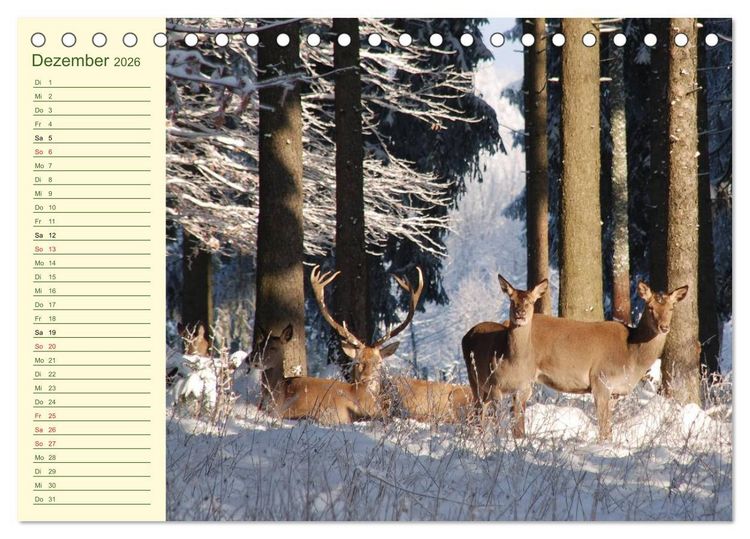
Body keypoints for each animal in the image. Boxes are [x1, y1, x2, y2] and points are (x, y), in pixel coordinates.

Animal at [462, 275, 688, 439]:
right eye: (650, 307)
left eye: (671, 307)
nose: (664, 327)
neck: (631, 356)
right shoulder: (600, 381)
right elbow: (604, 428)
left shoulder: (615, 392)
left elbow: (609, 427)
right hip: (481, 383)